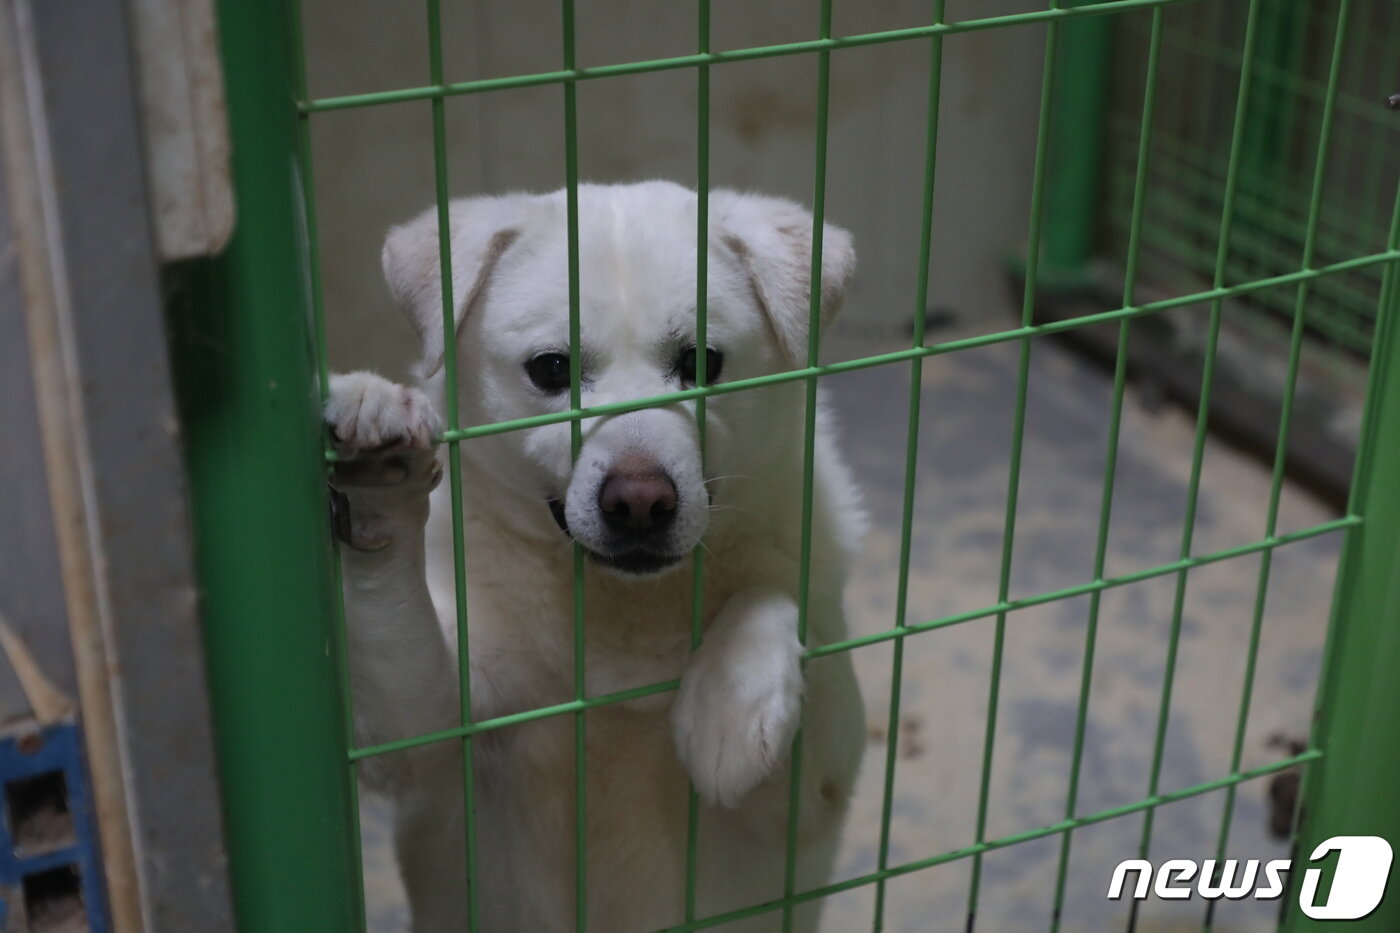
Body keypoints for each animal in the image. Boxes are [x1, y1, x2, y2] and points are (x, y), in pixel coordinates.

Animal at [329, 177, 868, 924]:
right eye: (551, 368)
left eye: (700, 362)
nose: (640, 502)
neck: (624, 608)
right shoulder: (432, 731)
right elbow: (400, 651)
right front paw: (377, 450)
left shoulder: (819, 786)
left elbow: (773, 596)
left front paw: (729, 702)